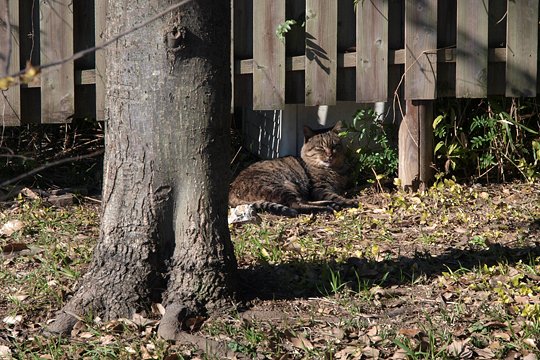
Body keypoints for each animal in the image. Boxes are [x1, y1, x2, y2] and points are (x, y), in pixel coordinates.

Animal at [229, 121, 358, 217]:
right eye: (320, 147)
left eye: (335, 145)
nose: (330, 154)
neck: (334, 169)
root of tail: (231, 191)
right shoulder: (319, 188)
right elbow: (335, 196)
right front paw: (349, 201)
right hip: (282, 186)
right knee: (296, 205)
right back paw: (328, 207)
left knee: (303, 201)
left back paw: (331, 205)